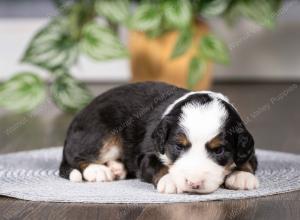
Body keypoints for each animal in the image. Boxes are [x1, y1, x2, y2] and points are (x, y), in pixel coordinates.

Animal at [58, 81, 258, 193]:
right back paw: (98, 171)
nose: (193, 183)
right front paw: (171, 180)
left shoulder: (248, 147)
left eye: (219, 150)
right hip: (102, 136)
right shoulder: (147, 155)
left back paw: (116, 168)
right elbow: (158, 166)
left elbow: (248, 161)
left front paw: (242, 176)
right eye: (179, 146)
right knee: (77, 157)